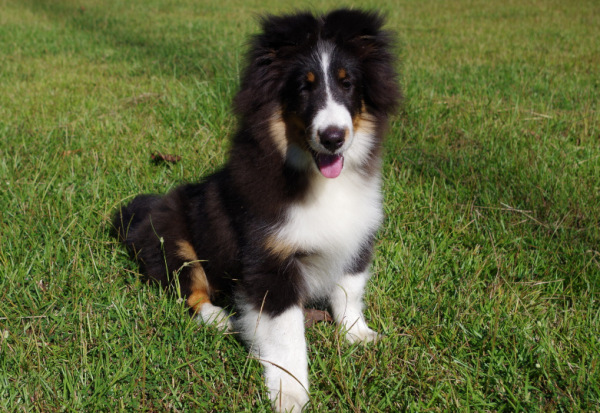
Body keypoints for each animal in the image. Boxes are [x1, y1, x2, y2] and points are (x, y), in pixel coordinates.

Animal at [115, 8, 400, 410]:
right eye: (303, 88)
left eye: (348, 84)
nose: (333, 138)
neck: (316, 178)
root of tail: (141, 212)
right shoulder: (269, 262)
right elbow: (286, 332)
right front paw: (290, 392)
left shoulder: (357, 235)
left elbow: (349, 289)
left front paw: (358, 335)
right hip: (173, 239)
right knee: (191, 288)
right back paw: (221, 319)